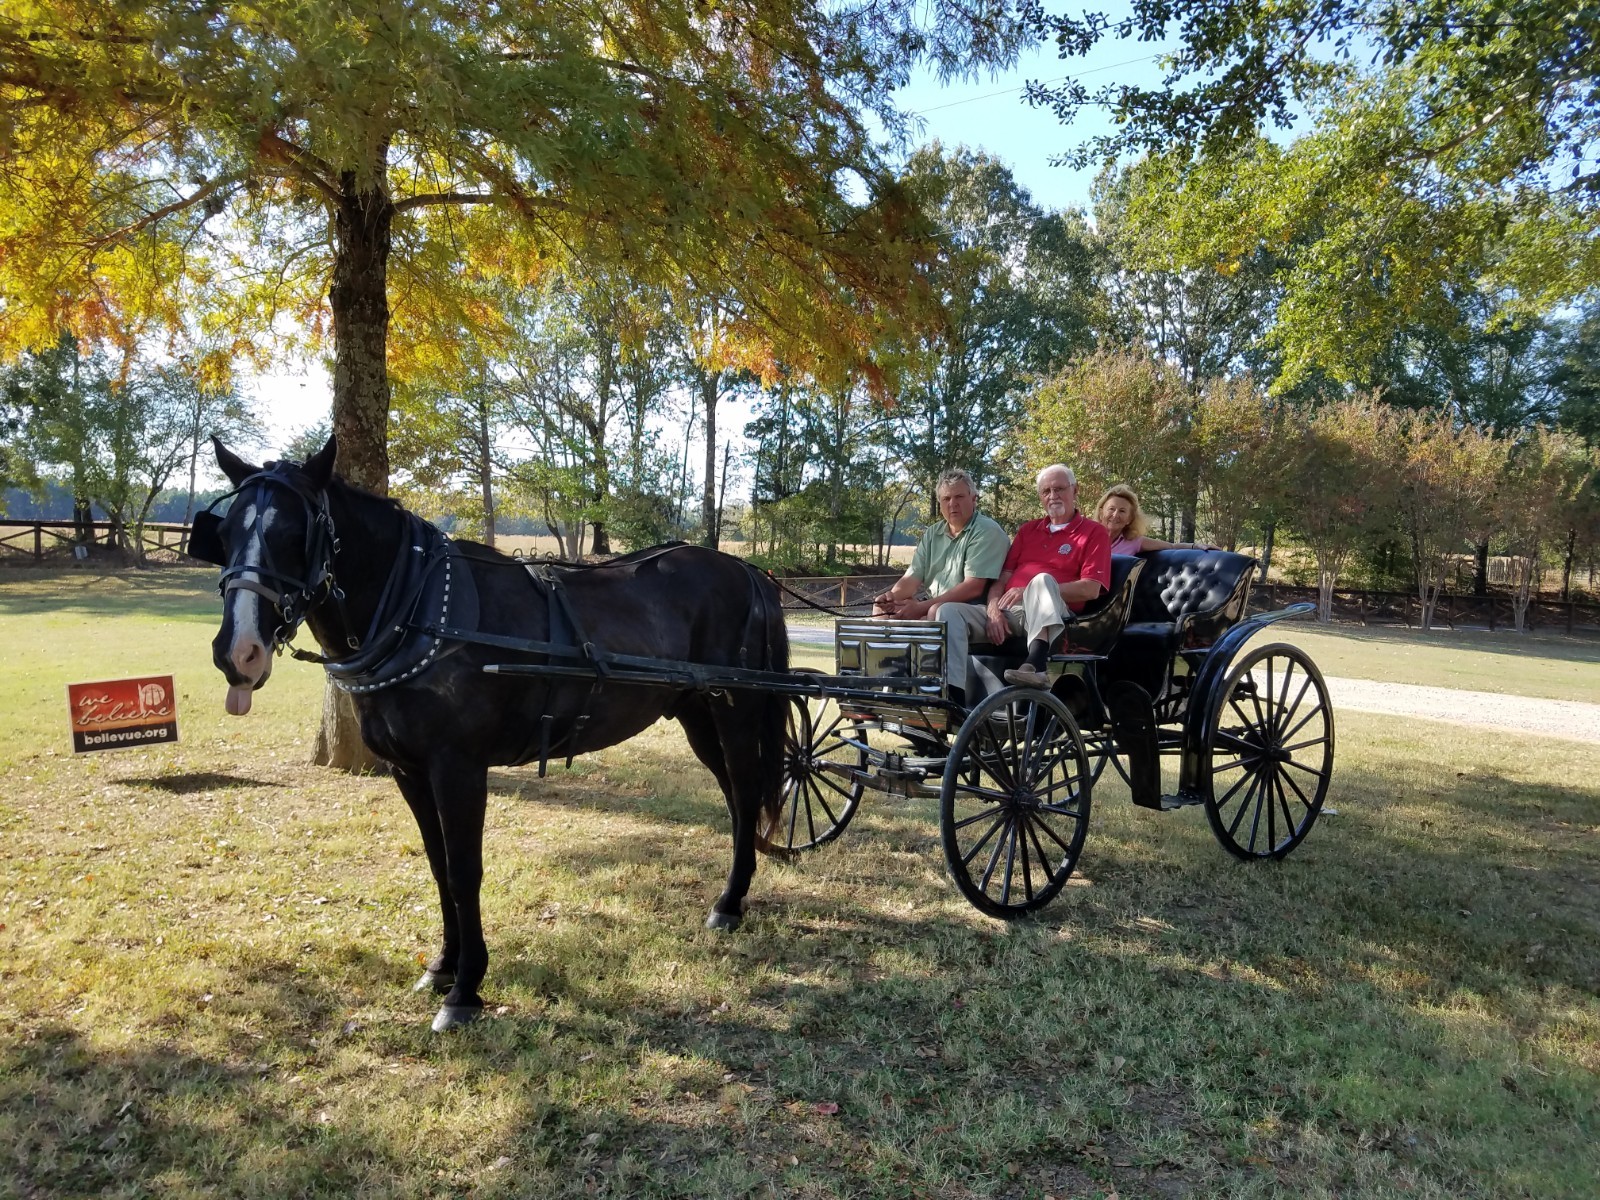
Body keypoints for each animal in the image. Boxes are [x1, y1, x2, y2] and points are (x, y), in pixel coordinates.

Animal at [190, 438, 790, 1036]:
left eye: (296, 535)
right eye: (225, 535)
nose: (237, 653)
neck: (422, 611)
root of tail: (748, 571)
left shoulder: (458, 767)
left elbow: (463, 872)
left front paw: (465, 988)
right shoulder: (410, 771)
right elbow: (437, 867)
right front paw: (442, 965)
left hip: (735, 715)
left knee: (745, 793)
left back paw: (729, 903)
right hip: (697, 718)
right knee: (736, 800)